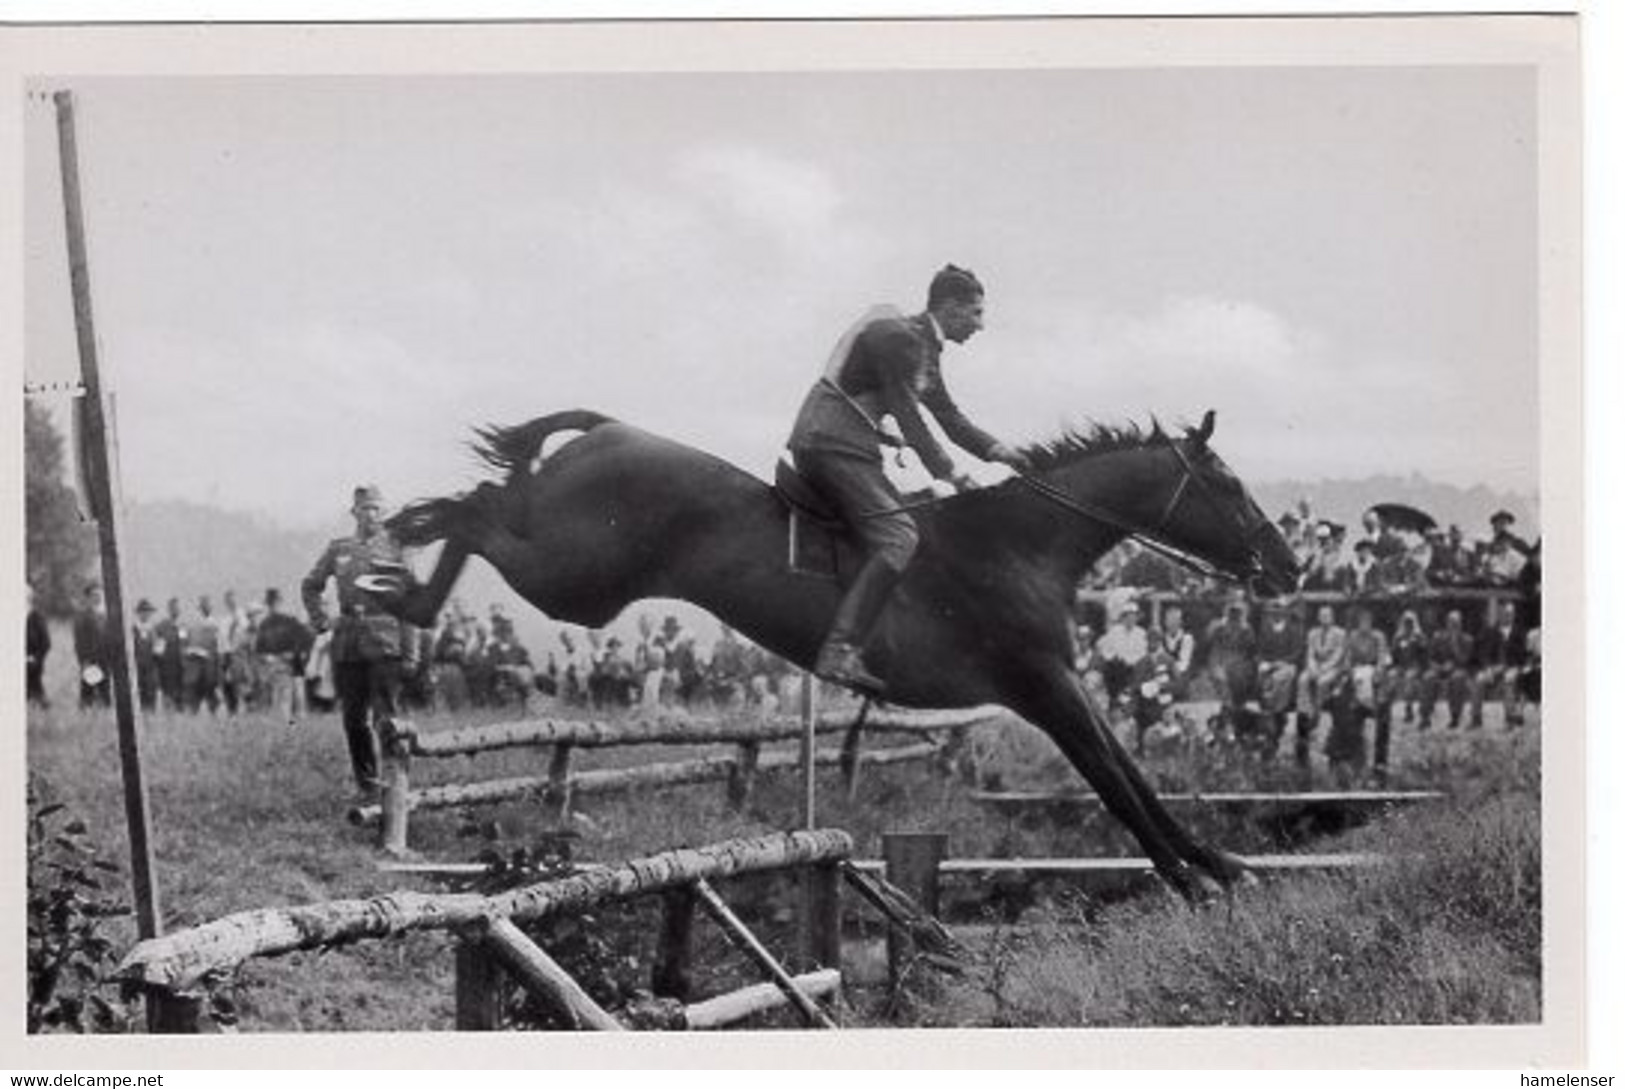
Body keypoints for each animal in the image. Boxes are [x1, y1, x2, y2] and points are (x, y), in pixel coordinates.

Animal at [377, 404, 1293, 897]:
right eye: (1229, 485)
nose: (1284, 565)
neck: (1022, 543)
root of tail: (608, 428)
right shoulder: (1042, 686)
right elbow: (1112, 780)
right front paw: (1189, 875)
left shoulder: (1060, 685)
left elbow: (1128, 770)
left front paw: (1215, 860)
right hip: (575, 577)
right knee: (478, 511)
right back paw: (397, 572)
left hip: (577, 574)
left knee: (492, 499)